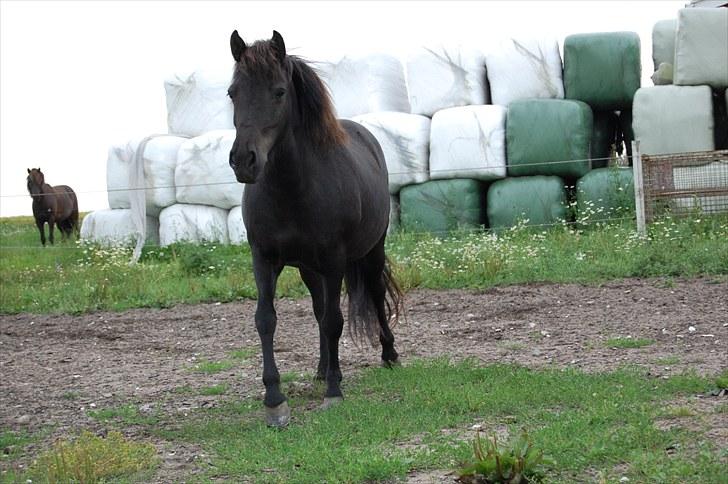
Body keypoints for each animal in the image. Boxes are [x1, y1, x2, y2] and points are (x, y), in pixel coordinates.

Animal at [228, 30, 400, 426]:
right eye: (232, 92)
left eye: (279, 92)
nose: (244, 160)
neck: (293, 189)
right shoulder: (263, 260)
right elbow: (266, 320)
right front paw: (274, 400)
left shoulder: (334, 261)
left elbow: (335, 321)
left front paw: (334, 391)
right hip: (308, 269)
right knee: (320, 310)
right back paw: (323, 368)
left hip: (371, 252)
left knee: (373, 295)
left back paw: (389, 355)